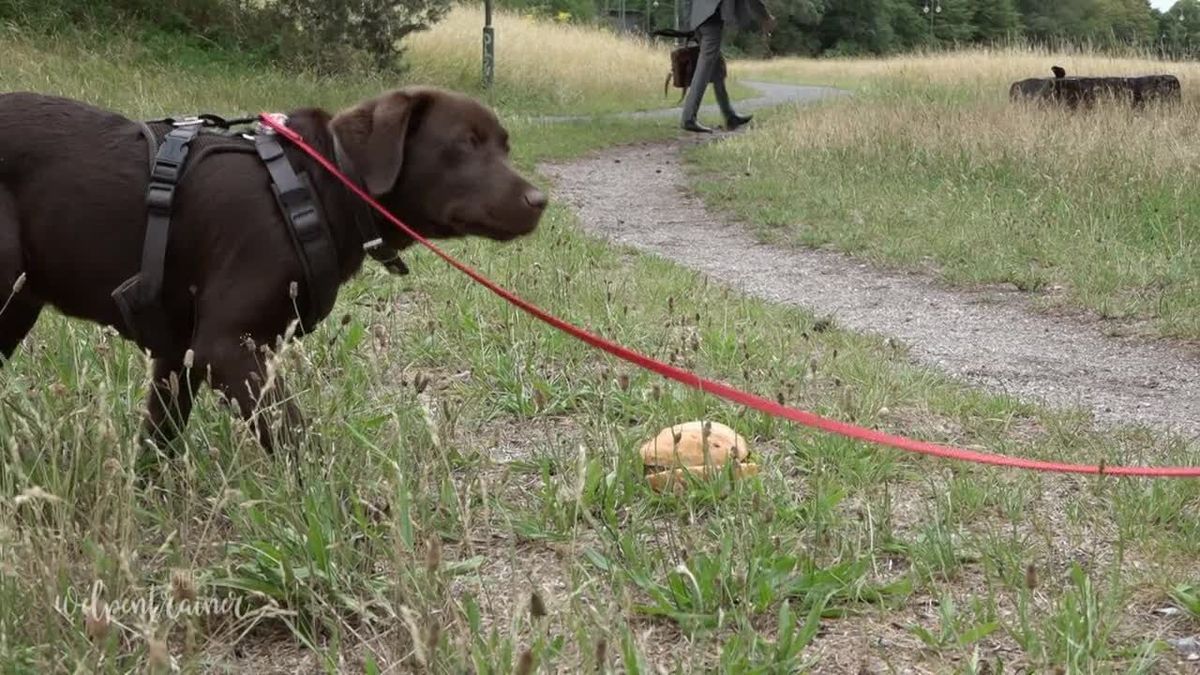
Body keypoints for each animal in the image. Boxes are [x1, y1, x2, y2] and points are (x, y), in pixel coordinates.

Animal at [0, 85, 549, 451]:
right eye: (465, 143)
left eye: (504, 146)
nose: (539, 200)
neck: (318, 184)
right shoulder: (226, 347)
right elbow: (294, 436)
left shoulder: (180, 353)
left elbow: (159, 443)